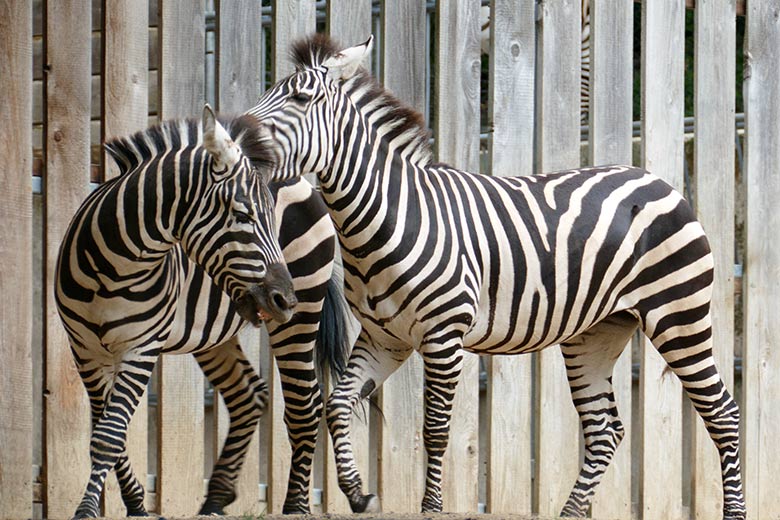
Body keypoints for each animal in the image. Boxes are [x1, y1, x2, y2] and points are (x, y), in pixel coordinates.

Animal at [59, 103, 352, 516]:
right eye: (243, 215)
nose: (285, 300)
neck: (113, 268)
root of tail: (303, 181)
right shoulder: (83, 349)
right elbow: (104, 433)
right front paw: (135, 503)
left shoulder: (141, 348)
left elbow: (109, 435)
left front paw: (89, 509)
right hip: (214, 331)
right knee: (249, 394)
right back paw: (216, 496)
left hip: (300, 317)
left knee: (305, 404)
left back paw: (295, 503)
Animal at [250, 35, 748, 520]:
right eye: (270, 91)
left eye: (300, 98)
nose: (241, 138)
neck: (388, 217)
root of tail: (660, 182)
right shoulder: (385, 337)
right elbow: (338, 405)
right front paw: (356, 492)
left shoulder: (443, 334)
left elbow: (435, 428)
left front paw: (432, 507)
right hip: (597, 332)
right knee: (605, 429)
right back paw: (570, 512)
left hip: (678, 315)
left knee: (723, 411)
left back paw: (734, 511)